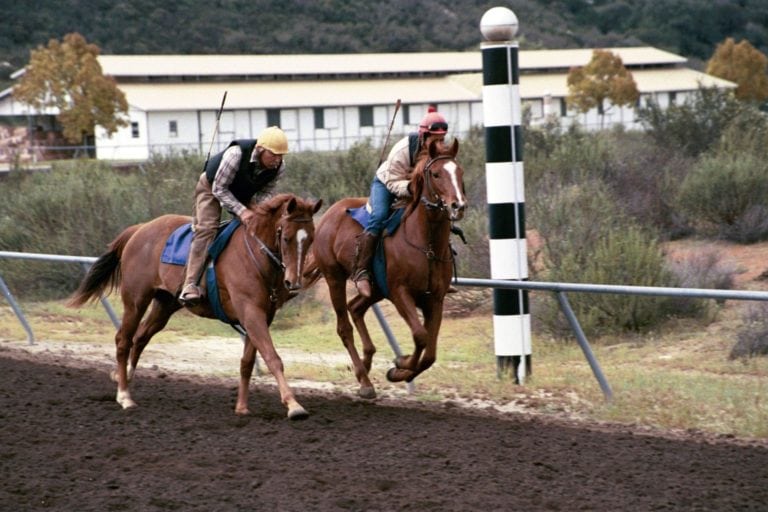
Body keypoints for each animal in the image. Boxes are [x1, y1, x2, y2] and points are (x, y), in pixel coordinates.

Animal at [69, 192, 324, 420]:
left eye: (311, 238)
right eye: (286, 237)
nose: (293, 282)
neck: (255, 255)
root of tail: (139, 229)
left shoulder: (262, 315)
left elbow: (247, 362)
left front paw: (241, 407)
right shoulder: (251, 312)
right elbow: (272, 357)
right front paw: (294, 405)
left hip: (165, 304)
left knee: (140, 337)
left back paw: (125, 377)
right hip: (135, 299)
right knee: (123, 339)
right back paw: (124, 396)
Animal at [308, 140, 468, 400]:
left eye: (460, 172)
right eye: (436, 173)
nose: (458, 206)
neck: (426, 244)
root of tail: (326, 215)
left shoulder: (435, 298)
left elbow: (430, 353)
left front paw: (400, 369)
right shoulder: (400, 293)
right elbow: (420, 336)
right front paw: (400, 365)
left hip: (374, 288)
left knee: (356, 308)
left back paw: (365, 364)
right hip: (334, 278)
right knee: (344, 327)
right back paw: (365, 382)